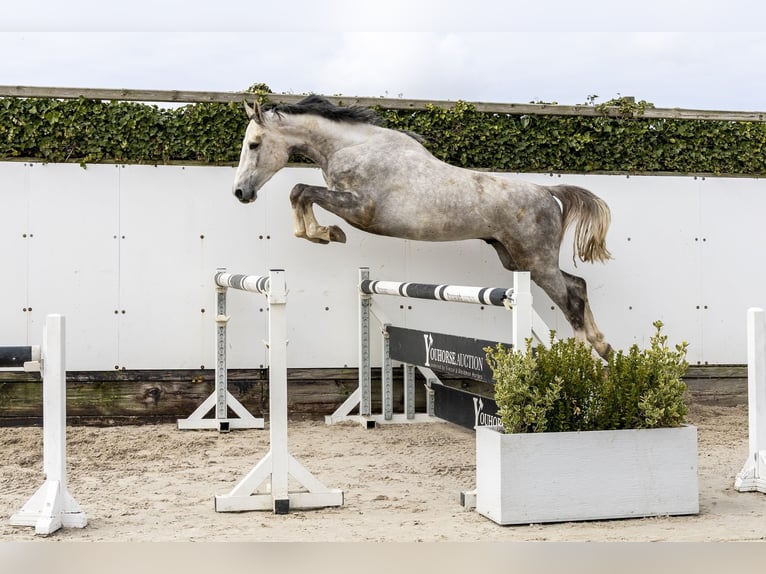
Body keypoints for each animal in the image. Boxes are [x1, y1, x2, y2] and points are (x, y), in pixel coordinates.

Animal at [232, 95, 613, 359]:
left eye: (254, 144)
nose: (240, 193)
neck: (353, 147)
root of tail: (548, 193)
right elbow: (300, 193)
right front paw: (319, 233)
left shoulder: (359, 208)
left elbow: (301, 191)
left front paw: (325, 234)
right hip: (518, 260)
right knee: (577, 285)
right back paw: (603, 346)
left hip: (536, 261)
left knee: (570, 301)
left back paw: (585, 358)